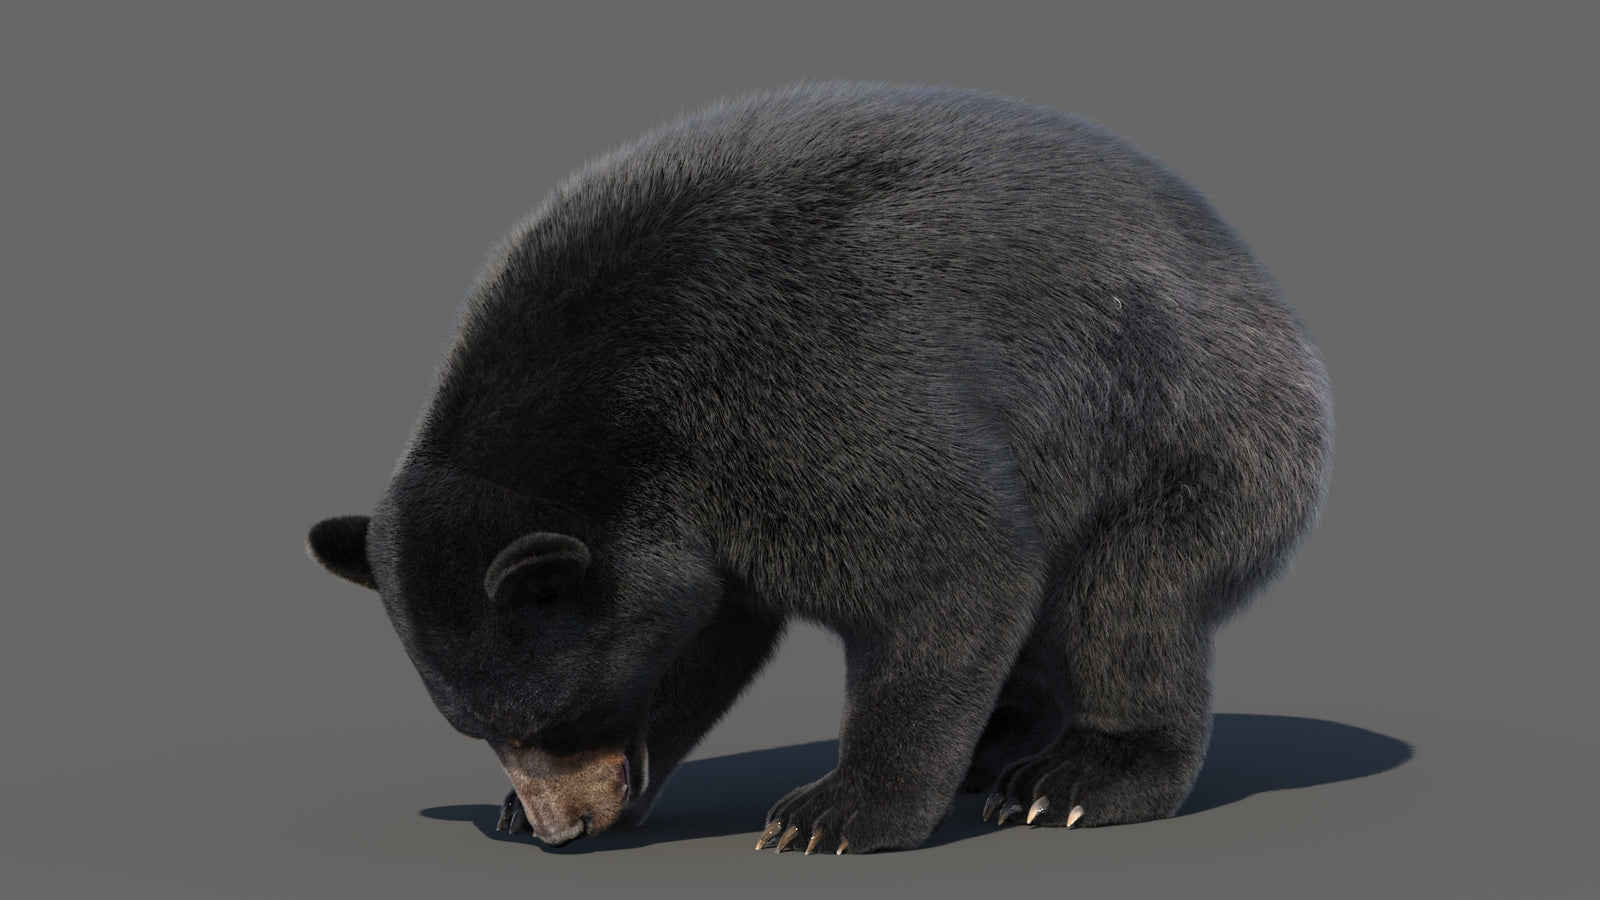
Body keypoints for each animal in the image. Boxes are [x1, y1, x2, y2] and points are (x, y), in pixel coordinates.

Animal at [307, 82, 1333, 855]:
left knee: (1129, 599)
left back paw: (1074, 778)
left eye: (546, 720)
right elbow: (702, 634)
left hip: (1182, 428)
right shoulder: (696, 516)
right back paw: (1000, 742)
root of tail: (1265, 287)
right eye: (479, 728)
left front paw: (834, 812)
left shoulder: (802, 391)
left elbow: (954, 566)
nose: (564, 827)